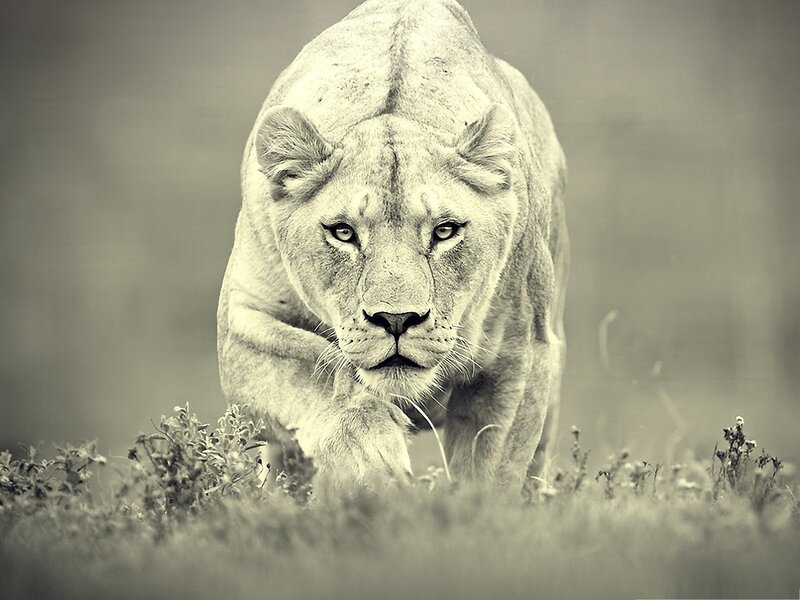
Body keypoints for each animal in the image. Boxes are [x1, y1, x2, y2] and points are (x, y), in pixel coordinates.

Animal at [217, 0, 568, 494]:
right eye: (343, 233)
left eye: (445, 231)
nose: (397, 319)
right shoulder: (242, 323)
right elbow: (321, 370)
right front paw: (373, 463)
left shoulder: (521, 356)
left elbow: (490, 476)